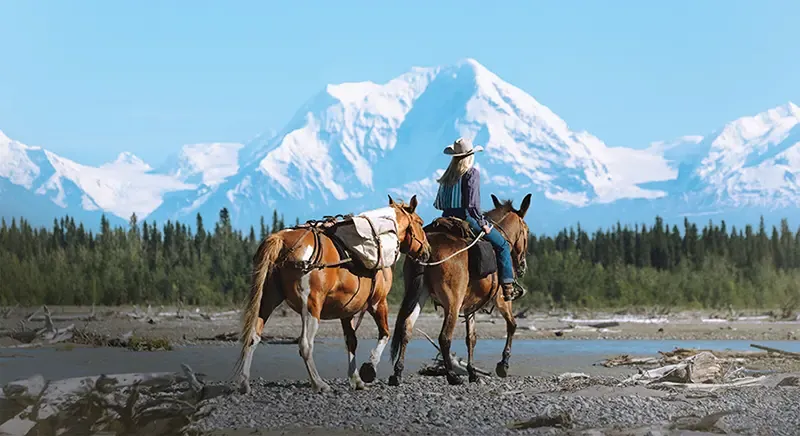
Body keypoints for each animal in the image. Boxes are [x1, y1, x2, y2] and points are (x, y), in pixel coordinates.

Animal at [231, 196, 432, 394]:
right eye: (420, 223)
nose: (428, 251)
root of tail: (281, 239)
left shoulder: (347, 311)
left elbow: (351, 341)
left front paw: (356, 379)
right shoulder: (378, 302)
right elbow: (385, 334)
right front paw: (369, 368)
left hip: (267, 300)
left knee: (253, 337)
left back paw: (244, 383)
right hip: (312, 306)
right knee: (305, 344)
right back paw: (319, 383)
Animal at [388, 192, 532, 386]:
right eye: (527, 230)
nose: (522, 265)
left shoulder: (470, 306)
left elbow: (471, 337)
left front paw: (472, 372)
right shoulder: (501, 300)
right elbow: (512, 325)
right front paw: (503, 364)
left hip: (419, 294)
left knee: (406, 328)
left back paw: (397, 373)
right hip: (452, 303)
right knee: (444, 337)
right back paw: (451, 375)